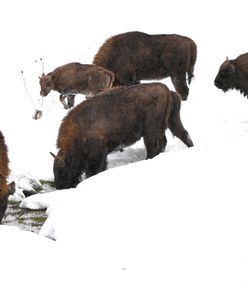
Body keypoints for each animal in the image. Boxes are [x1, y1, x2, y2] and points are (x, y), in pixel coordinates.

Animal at [50, 82, 194, 190]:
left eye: (62, 171)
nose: (60, 187)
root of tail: (168, 91)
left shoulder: (96, 155)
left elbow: (93, 171)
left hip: (151, 131)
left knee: (156, 146)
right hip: (171, 122)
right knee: (182, 134)